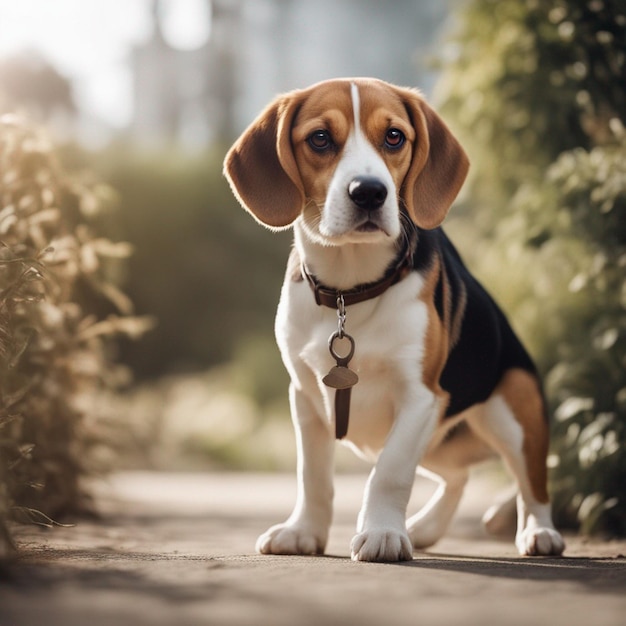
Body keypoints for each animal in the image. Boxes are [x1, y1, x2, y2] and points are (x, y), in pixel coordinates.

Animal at [222, 75, 564, 560]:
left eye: (395, 136)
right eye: (320, 138)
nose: (369, 191)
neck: (349, 291)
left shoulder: (421, 397)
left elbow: (390, 471)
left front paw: (383, 534)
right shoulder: (304, 396)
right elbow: (313, 475)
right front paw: (304, 531)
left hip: (513, 413)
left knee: (532, 482)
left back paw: (539, 532)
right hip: (441, 445)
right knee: (458, 477)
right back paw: (424, 528)